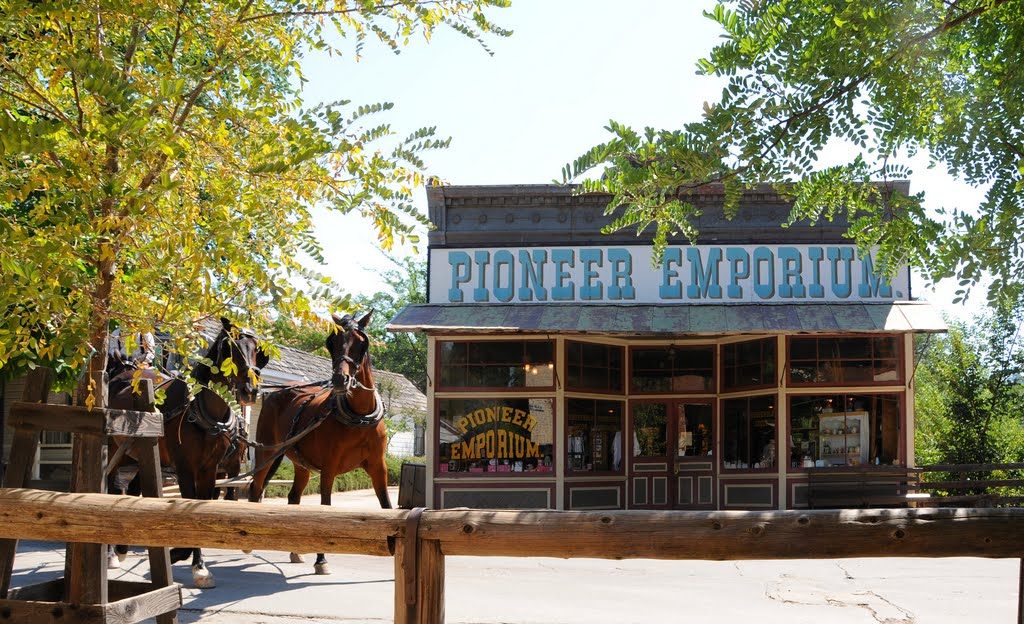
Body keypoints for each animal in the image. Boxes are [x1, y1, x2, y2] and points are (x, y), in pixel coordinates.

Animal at [108, 319, 268, 586]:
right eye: (230, 348)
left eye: (256, 349)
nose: (250, 390)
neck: (202, 411)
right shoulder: (184, 467)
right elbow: (188, 504)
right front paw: (187, 557)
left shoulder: (209, 468)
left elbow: (202, 504)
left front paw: (193, 562)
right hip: (114, 450)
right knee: (110, 488)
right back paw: (113, 551)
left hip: (138, 453)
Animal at [248, 311, 391, 573]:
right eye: (331, 342)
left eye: (360, 343)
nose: (340, 380)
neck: (359, 415)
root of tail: (277, 391)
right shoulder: (329, 467)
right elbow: (325, 506)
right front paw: (322, 559)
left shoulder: (378, 466)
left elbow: (386, 503)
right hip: (266, 452)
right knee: (256, 486)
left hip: (301, 465)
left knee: (293, 497)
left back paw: (296, 550)